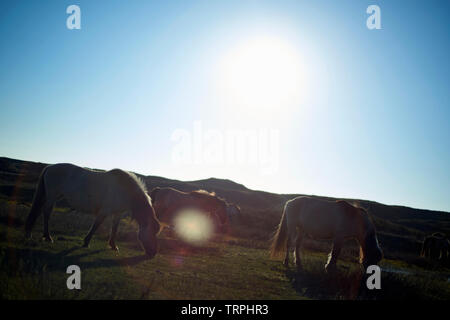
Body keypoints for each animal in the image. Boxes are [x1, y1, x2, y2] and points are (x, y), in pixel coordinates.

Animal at [24, 162, 161, 258]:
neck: (124, 190)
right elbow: (96, 225)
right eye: (152, 232)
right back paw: (48, 237)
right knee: (47, 213)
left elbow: (114, 229)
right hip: (52, 196)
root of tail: (49, 167)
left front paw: (113, 245)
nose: (153, 253)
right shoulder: (104, 211)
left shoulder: (117, 213)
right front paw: (86, 242)